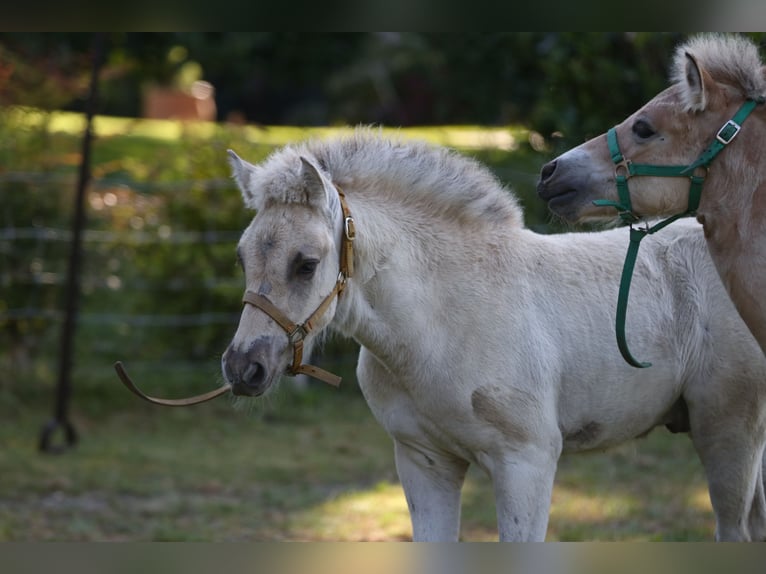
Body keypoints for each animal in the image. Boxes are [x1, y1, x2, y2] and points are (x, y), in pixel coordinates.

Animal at [222, 130, 766, 544]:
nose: (243, 368)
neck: (441, 322)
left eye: (306, 263)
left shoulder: (526, 462)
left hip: (729, 431)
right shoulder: (424, 462)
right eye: (241, 257)